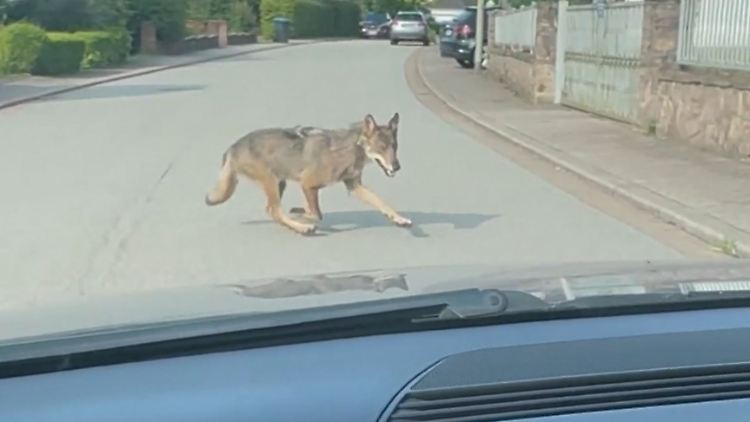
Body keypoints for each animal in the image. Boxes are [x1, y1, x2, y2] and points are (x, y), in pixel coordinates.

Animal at [205, 113, 411, 234]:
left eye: (394, 147)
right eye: (381, 148)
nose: (397, 167)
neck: (350, 149)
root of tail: (232, 148)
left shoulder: (354, 186)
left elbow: (382, 203)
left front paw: (399, 219)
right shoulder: (307, 184)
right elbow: (316, 213)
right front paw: (303, 216)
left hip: (280, 183)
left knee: (272, 210)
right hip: (273, 182)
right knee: (274, 210)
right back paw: (303, 228)